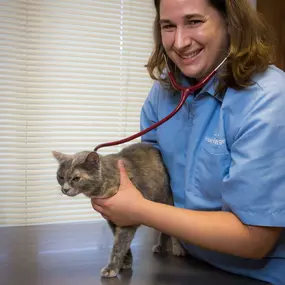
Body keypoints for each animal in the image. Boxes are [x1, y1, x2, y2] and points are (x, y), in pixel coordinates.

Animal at [51, 143, 184, 276]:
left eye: (76, 178)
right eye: (60, 177)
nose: (65, 189)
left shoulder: (127, 218)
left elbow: (119, 245)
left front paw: (111, 268)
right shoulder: (112, 219)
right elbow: (122, 243)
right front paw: (126, 262)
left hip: (166, 201)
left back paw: (178, 248)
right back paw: (160, 246)